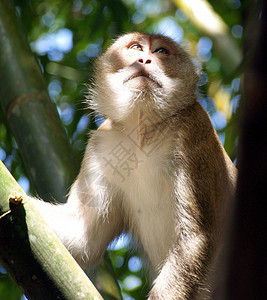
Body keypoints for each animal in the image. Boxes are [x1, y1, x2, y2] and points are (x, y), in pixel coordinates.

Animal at [30, 31, 237, 298]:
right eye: (136, 47)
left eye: (161, 52)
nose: (144, 60)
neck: (143, 133)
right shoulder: (101, 144)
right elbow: (82, 236)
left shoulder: (193, 127)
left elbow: (196, 236)